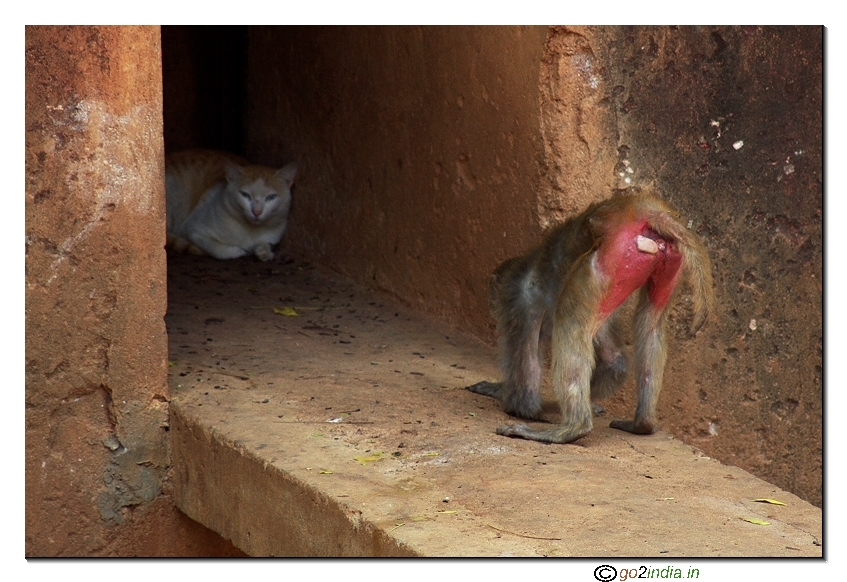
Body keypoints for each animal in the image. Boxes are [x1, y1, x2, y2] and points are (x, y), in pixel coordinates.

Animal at [467, 192, 713, 444]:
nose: (491, 306)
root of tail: (649, 212)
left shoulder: (519, 304)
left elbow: (526, 387)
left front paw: (504, 394)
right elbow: (614, 363)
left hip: (605, 260)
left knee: (570, 322)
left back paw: (573, 428)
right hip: (666, 263)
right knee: (651, 325)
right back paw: (642, 424)